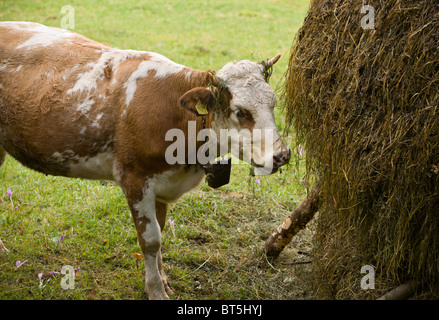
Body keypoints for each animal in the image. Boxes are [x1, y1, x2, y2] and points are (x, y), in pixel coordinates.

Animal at [0, 21, 292, 298]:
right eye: (241, 112)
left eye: (274, 103)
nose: (282, 155)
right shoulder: (135, 179)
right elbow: (151, 240)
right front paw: (155, 290)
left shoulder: (162, 184)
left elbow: (160, 232)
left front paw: (163, 280)